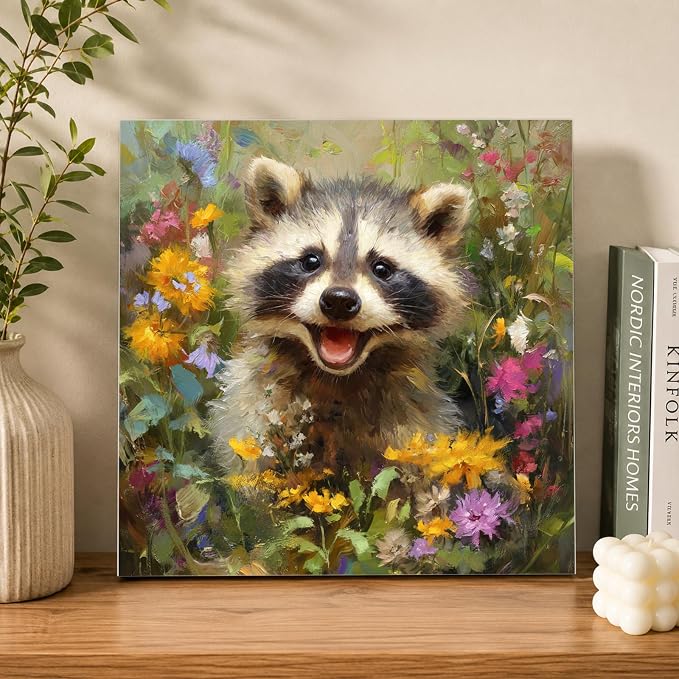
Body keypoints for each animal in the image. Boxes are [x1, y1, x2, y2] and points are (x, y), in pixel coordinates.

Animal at [209, 157, 471, 473]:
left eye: (381, 268)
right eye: (311, 260)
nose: (339, 301)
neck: (336, 378)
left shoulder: (413, 423)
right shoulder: (250, 414)